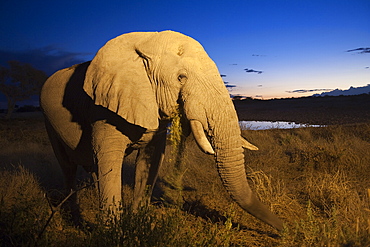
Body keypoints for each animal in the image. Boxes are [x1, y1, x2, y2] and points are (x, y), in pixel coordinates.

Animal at [39, 29, 284, 231]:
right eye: (181, 78)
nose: (284, 229)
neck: (144, 42)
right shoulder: (101, 107)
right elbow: (109, 159)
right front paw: (113, 233)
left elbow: (151, 159)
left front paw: (138, 224)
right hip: (48, 121)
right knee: (68, 167)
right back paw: (72, 217)